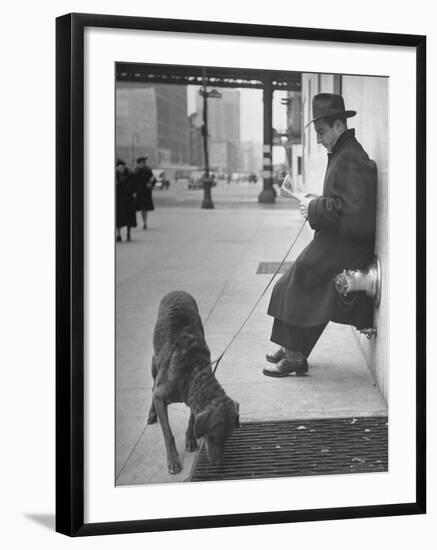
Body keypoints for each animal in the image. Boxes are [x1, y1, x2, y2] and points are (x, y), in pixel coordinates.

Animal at [146, 292, 238, 476]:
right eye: (212, 437)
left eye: (228, 437)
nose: (218, 464)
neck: (193, 372)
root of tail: (177, 291)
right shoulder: (160, 396)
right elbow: (168, 433)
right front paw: (173, 461)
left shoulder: (193, 399)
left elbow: (192, 419)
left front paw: (190, 439)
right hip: (155, 363)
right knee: (152, 386)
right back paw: (152, 413)